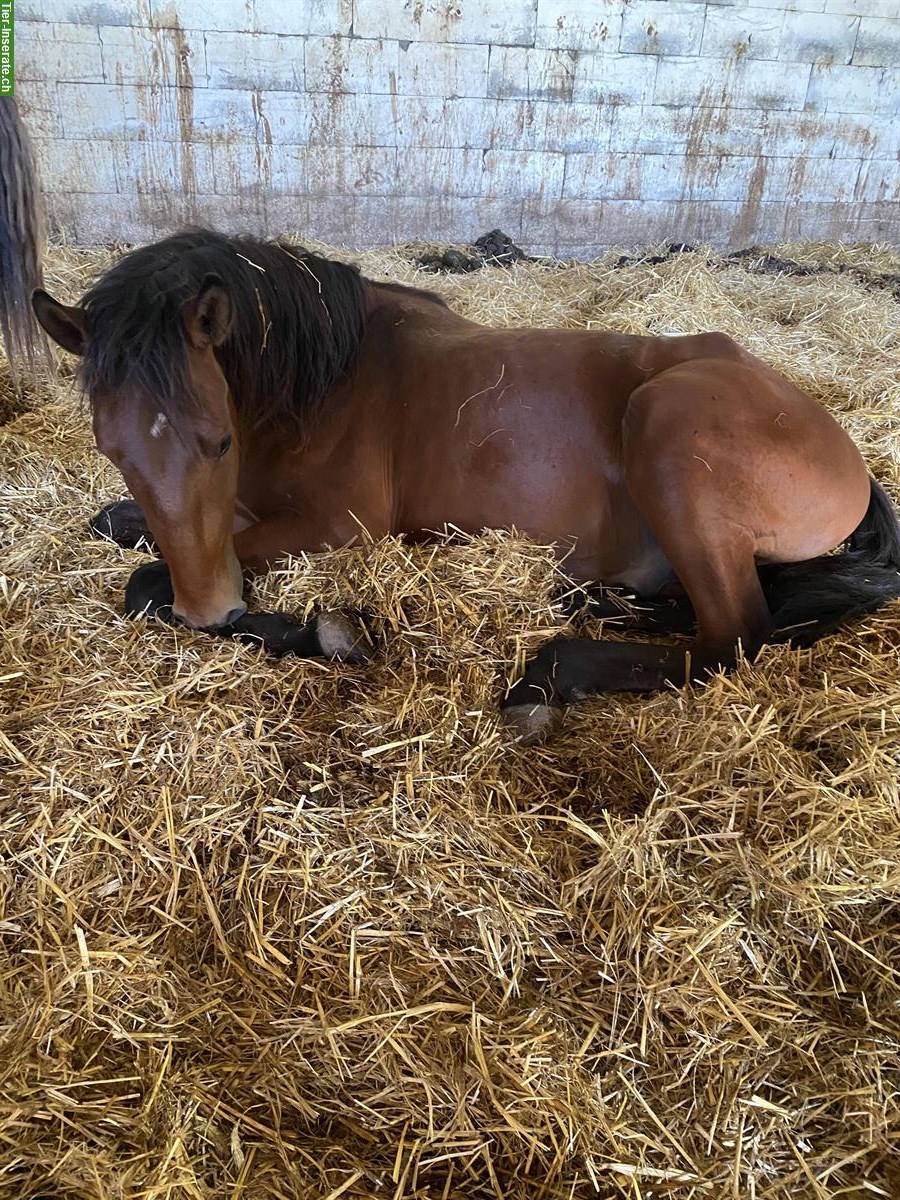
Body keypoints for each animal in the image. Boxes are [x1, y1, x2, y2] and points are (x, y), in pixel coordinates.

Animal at [30, 226, 900, 739]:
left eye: (217, 441)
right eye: (112, 450)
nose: (210, 611)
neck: (325, 379)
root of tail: (846, 456)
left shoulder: (334, 525)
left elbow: (148, 577)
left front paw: (333, 632)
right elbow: (128, 528)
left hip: (668, 426)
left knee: (736, 635)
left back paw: (550, 675)